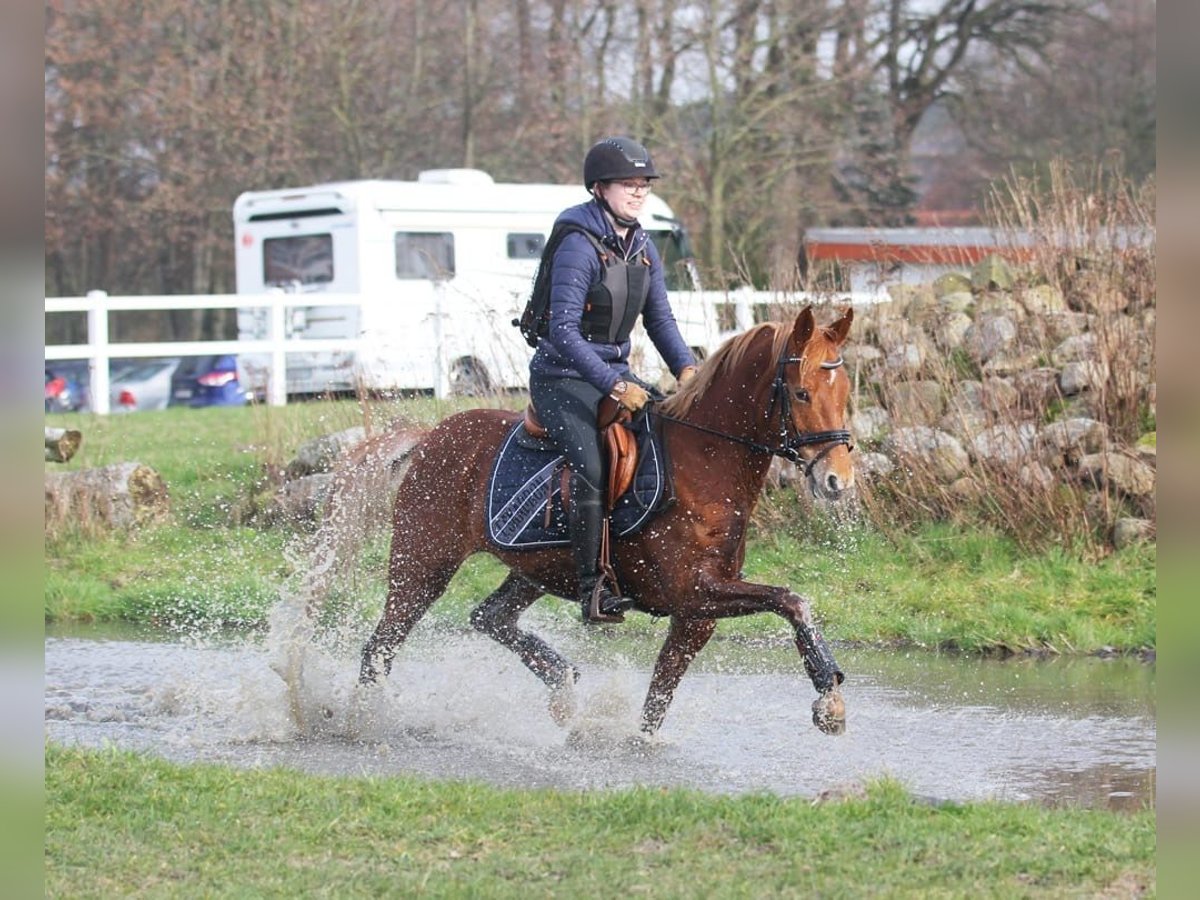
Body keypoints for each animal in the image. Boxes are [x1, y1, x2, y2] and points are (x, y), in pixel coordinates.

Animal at [355, 307, 854, 734]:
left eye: (845, 392)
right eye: (802, 393)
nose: (838, 480)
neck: (704, 462)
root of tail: (428, 437)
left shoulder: (695, 617)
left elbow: (658, 700)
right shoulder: (694, 594)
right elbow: (791, 600)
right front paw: (828, 696)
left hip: (536, 569)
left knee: (489, 617)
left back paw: (562, 685)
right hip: (423, 564)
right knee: (380, 647)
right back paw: (361, 718)